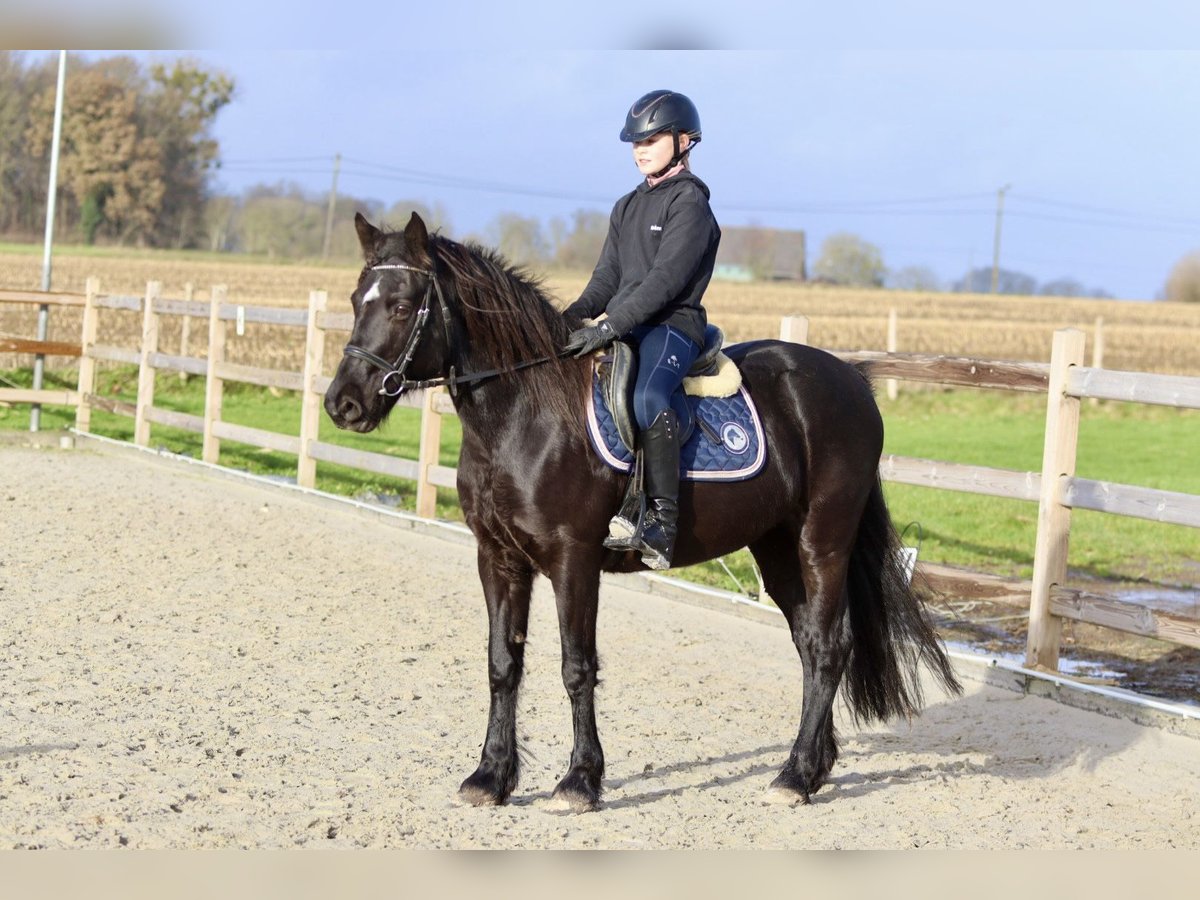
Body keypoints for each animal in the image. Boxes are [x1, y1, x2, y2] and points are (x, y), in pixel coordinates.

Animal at [324, 211, 960, 811]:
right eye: (357, 301)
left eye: (402, 306)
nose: (342, 404)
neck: (526, 413)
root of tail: (852, 380)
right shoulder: (498, 558)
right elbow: (503, 664)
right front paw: (490, 777)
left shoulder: (574, 560)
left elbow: (576, 666)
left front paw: (579, 783)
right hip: (777, 548)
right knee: (810, 644)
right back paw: (813, 767)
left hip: (821, 542)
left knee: (829, 649)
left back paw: (795, 777)